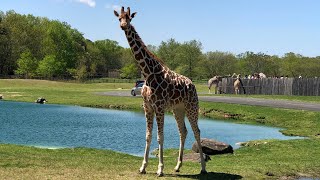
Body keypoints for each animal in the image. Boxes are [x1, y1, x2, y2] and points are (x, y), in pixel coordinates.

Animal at [114, 6, 206, 176]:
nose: (123, 26)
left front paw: (160, 169)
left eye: (129, 18)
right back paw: (177, 166)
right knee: (183, 131)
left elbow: (160, 137)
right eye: (119, 18)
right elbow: (148, 136)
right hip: (178, 108)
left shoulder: (159, 106)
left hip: (192, 106)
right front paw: (143, 167)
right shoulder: (147, 107)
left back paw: (203, 168)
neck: (148, 73)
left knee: (197, 131)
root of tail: (192, 84)